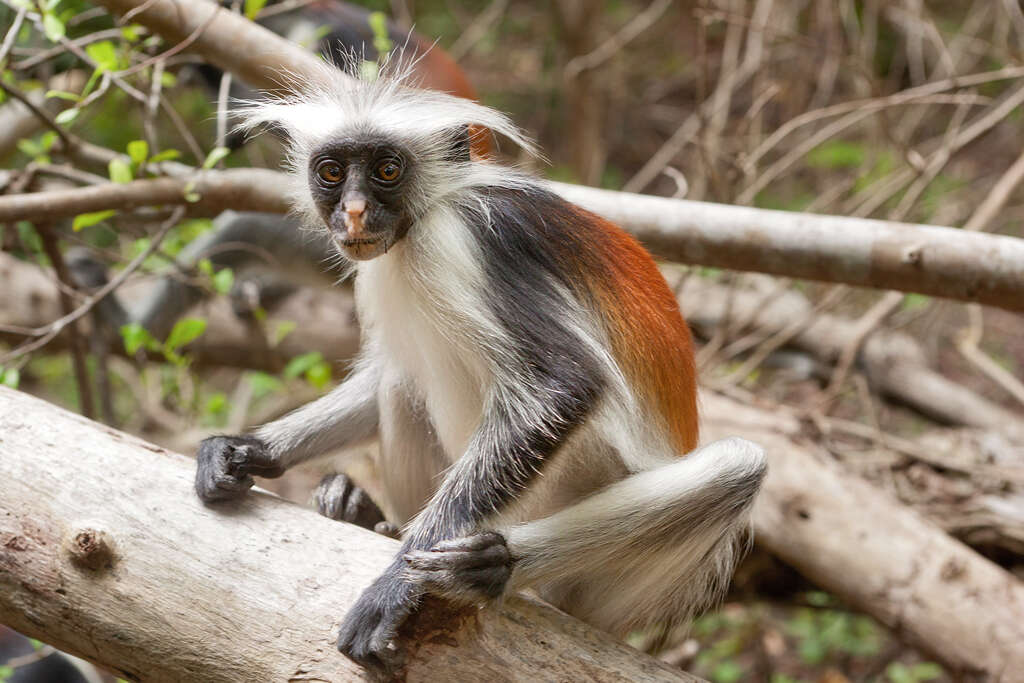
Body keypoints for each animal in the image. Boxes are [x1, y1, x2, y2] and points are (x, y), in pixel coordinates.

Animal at [193, 61, 770, 675]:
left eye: (388, 170)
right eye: (330, 172)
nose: (353, 211)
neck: (420, 223)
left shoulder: (463, 239)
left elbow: (563, 384)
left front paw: (397, 582)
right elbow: (383, 373)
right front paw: (248, 449)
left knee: (739, 465)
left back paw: (489, 566)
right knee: (400, 383)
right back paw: (370, 516)